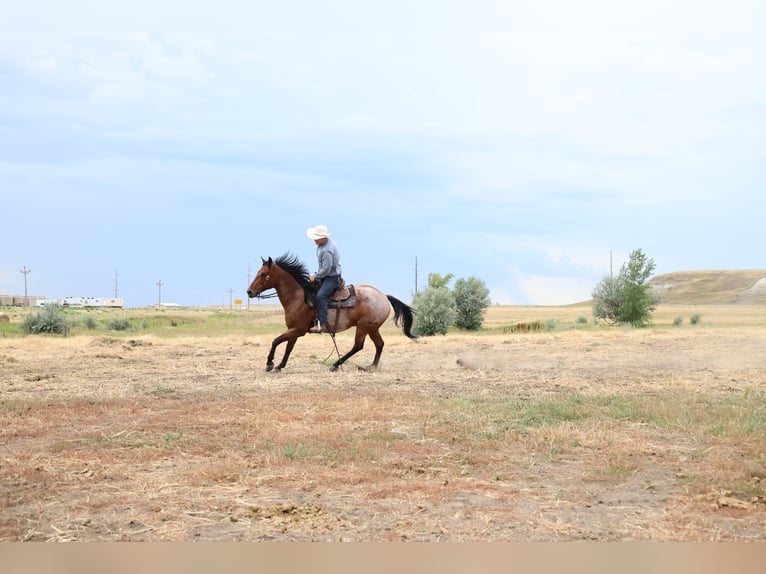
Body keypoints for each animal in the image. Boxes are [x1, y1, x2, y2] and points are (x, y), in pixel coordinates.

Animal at [246, 253, 416, 372]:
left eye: (263, 274)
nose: (249, 292)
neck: (298, 297)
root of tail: (384, 296)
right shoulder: (293, 330)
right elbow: (288, 347)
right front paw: (280, 366)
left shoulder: (298, 330)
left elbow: (276, 341)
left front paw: (269, 364)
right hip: (372, 328)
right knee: (379, 344)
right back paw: (371, 366)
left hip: (364, 327)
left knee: (358, 346)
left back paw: (335, 365)